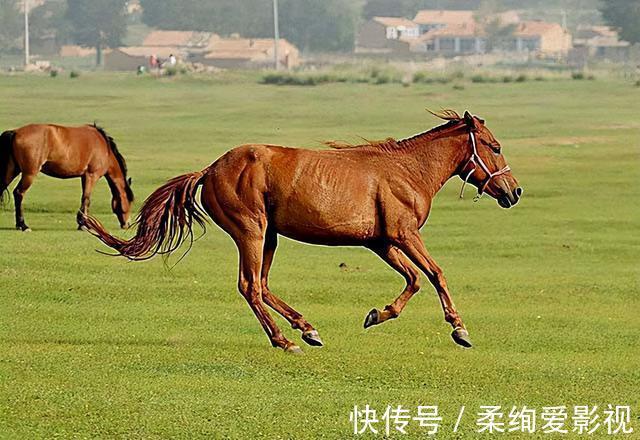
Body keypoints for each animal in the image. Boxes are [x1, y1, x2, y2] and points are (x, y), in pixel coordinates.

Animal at [0, 123, 134, 231]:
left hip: (12, 170)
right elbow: (86, 199)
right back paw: (23, 225)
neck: (104, 148)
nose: (127, 224)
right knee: (19, 193)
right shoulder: (92, 175)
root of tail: (15, 132)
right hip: (29, 174)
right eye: (129, 201)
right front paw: (83, 225)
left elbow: (84, 198)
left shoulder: (84, 177)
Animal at [79, 110, 522, 353]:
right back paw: (285, 340)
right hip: (252, 231)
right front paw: (460, 329)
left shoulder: (381, 242)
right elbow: (435, 273)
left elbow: (413, 279)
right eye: (495, 146)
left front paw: (377, 314)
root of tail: (210, 170)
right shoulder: (404, 235)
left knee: (261, 285)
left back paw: (307, 329)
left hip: (270, 236)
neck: (407, 171)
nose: (514, 191)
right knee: (250, 286)